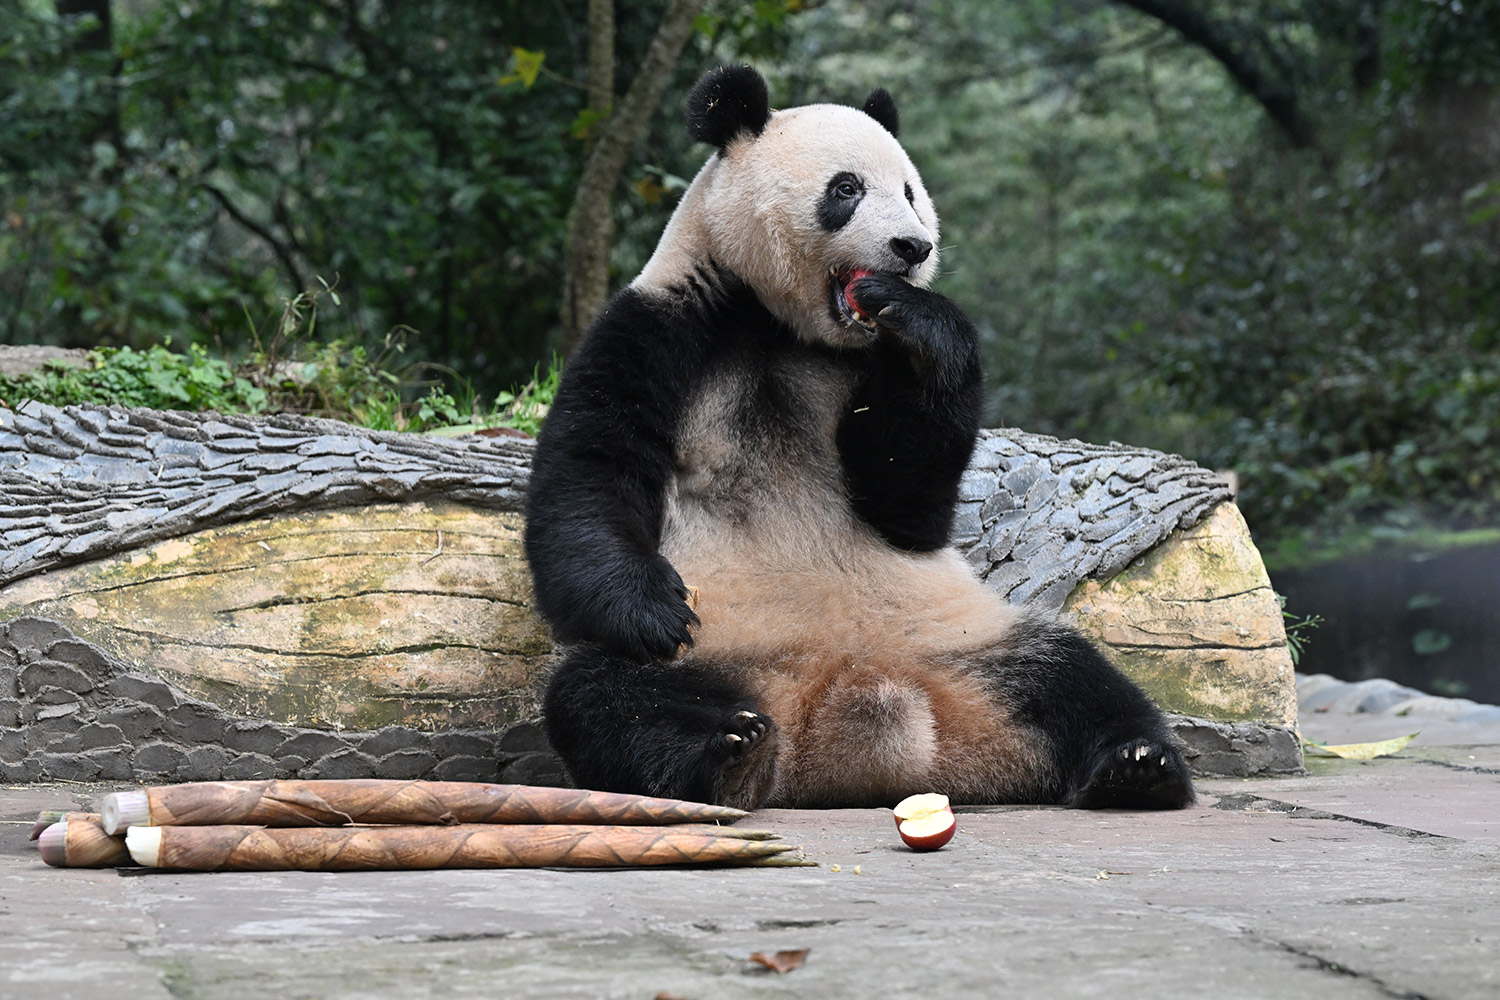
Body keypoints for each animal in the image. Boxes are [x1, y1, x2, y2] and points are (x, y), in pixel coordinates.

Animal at [528, 64, 1194, 815]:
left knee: (1072, 675)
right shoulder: (663, 323)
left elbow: (908, 502)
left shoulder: (873, 365)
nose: (913, 248)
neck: (785, 326)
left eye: (909, 192)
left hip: (965, 638)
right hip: (726, 649)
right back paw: (729, 755)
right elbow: (593, 469)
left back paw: (1137, 766)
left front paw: (920, 320)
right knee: (608, 696)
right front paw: (652, 611)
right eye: (845, 189)